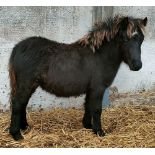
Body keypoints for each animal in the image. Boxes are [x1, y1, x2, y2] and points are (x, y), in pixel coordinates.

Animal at [8, 15, 148, 140]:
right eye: (124, 39)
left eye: (141, 39)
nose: (137, 65)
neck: (100, 56)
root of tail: (18, 47)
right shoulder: (98, 88)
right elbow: (97, 109)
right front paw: (99, 131)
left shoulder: (91, 89)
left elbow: (88, 106)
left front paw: (88, 126)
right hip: (26, 84)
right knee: (17, 104)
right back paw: (16, 134)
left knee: (23, 104)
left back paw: (24, 127)